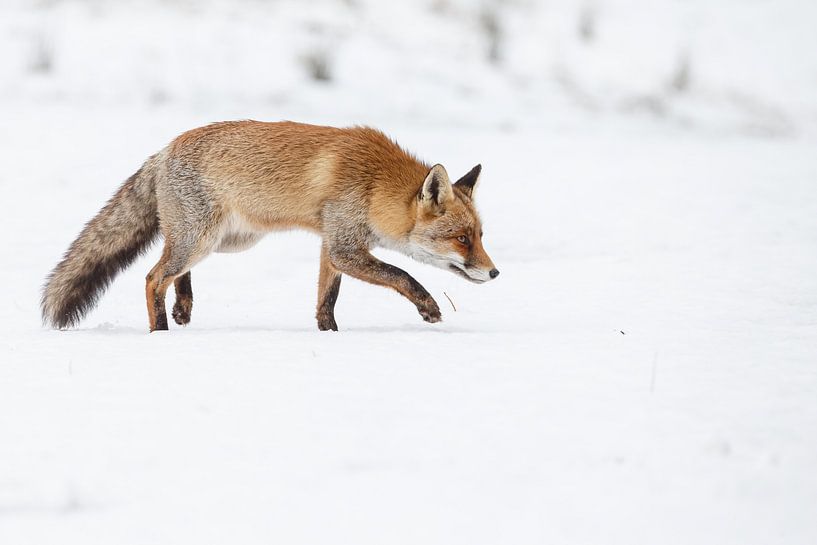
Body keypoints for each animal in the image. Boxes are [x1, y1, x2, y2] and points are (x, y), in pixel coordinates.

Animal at [41, 120, 500, 332]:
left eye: (480, 237)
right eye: (461, 239)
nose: (494, 272)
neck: (374, 183)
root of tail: (164, 149)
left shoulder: (332, 245)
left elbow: (326, 300)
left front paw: (330, 335)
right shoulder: (345, 247)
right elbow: (401, 274)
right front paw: (429, 307)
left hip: (223, 240)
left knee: (172, 268)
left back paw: (182, 308)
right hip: (203, 238)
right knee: (154, 276)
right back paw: (161, 331)